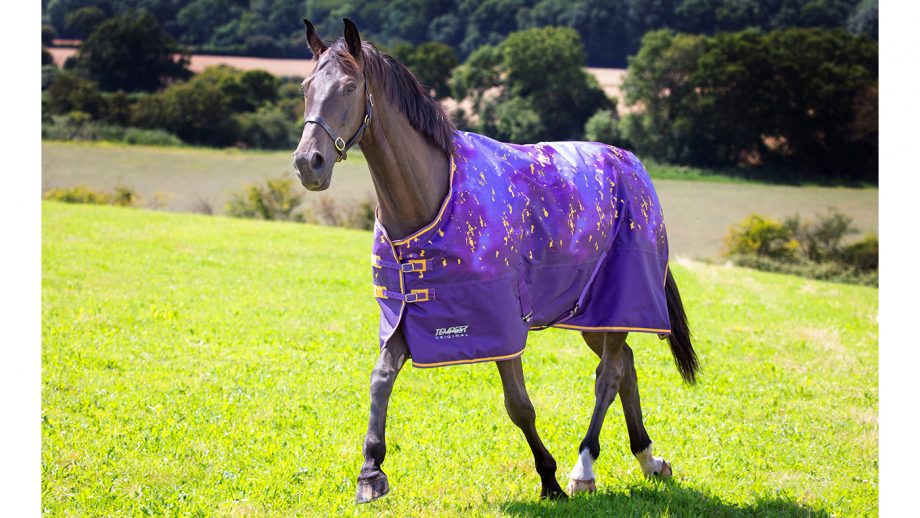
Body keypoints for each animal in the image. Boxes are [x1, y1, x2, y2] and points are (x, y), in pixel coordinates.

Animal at [292, 19, 700, 503]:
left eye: (350, 87)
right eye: (305, 88)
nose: (308, 163)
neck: (434, 196)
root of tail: (632, 165)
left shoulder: (501, 325)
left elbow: (519, 406)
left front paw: (549, 479)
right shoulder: (408, 316)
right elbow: (380, 377)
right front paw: (371, 472)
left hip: (620, 300)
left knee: (609, 374)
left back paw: (584, 468)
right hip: (592, 313)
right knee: (627, 368)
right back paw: (649, 459)